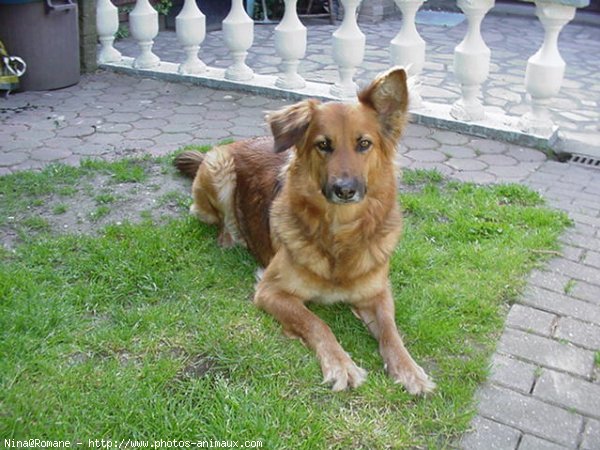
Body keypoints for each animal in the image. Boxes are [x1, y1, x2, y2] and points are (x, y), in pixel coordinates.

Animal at [176, 67, 434, 394]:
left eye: (364, 144)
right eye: (323, 145)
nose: (344, 190)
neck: (339, 234)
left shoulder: (377, 292)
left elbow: (391, 331)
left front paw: (409, 369)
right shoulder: (270, 291)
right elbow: (315, 323)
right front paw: (341, 365)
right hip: (218, 166)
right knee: (214, 216)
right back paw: (229, 237)